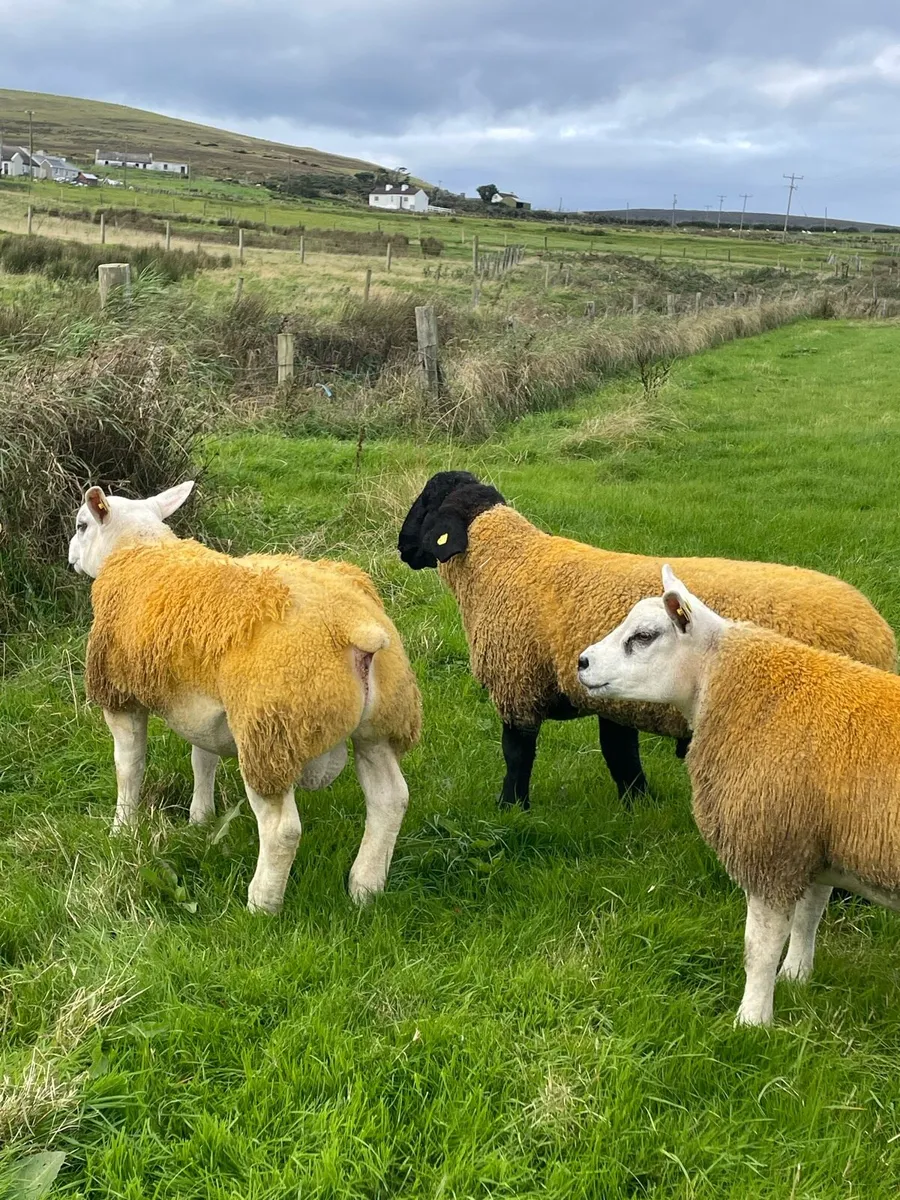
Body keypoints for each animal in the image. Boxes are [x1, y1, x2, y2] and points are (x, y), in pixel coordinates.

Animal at [69, 481, 422, 914]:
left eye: (82, 525)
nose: (70, 556)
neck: (138, 548)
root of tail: (355, 626)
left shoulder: (119, 695)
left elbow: (129, 766)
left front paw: (123, 828)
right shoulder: (202, 707)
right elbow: (202, 759)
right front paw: (200, 819)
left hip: (268, 729)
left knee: (282, 829)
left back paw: (261, 903)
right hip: (381, 723)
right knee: (390, 800)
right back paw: (365, 888)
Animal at [398, 471, 895, 809]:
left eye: (425, 504)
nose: (401, 548)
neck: (507, 562)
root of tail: (880, 638)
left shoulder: (517, 684)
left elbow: (517, 756)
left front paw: (510, 808)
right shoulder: (609, 693)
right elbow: (621, 755)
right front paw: (639, 804)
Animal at [578, 565, 900, 1025]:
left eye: (644, 636)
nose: (581, 662)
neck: (720, 681)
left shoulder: (768, 845)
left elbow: (759, 948)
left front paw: (752, 1020)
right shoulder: (815, 842)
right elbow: (809, 916)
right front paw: (797, 976)